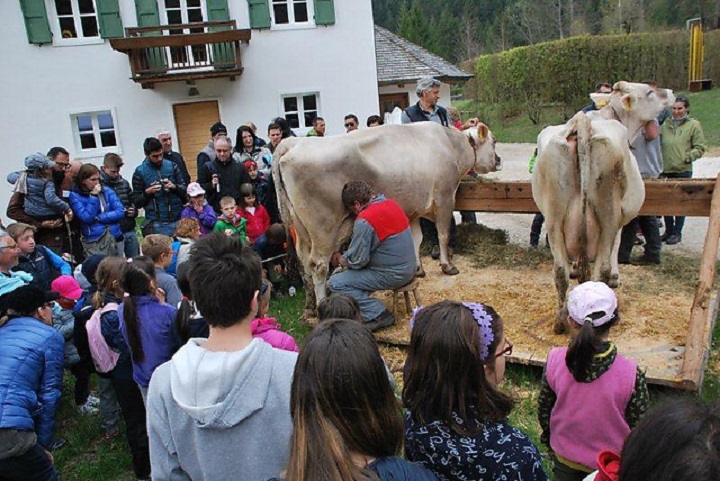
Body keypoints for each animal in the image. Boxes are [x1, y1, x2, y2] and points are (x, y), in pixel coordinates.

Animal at [272, 122, 500, 312]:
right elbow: (442, 234)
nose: (499, 160)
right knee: (319, 265)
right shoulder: (445, 198)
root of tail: (292, 143)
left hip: (300, 228)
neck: (451, 144)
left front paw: (418, 269)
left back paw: (310, 304)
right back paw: (322, 305)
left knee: (304, 263)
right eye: (494, 141)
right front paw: (447, 266)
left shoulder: (411, 209)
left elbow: (416, 240)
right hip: (324, 228)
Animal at [532, 80, 672, 332]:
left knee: (559, 271)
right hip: (607, 213)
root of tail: (582, 122)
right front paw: (616, 277)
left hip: (553, 216)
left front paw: (578, 270)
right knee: (601, 270)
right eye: (649, 91)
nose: (672, 93)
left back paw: (560, 322)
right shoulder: (621, 218)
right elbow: (617, 245)